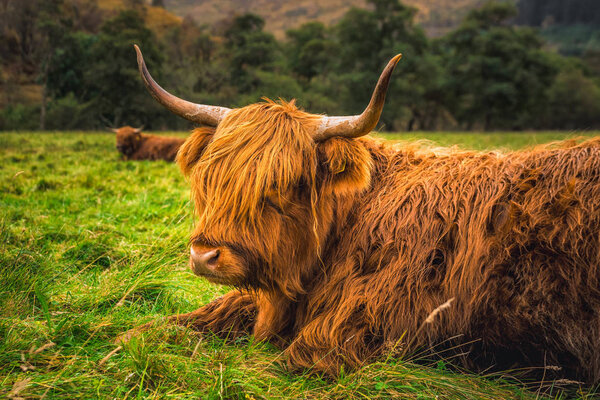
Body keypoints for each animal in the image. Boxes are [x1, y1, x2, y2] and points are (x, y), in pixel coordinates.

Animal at [130, 45, 600, 382]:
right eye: (211, 178)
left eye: (282, 184)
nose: (204, 256)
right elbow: (188, 318)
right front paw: (126, 337)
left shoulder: (368, 326)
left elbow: (284, 359)